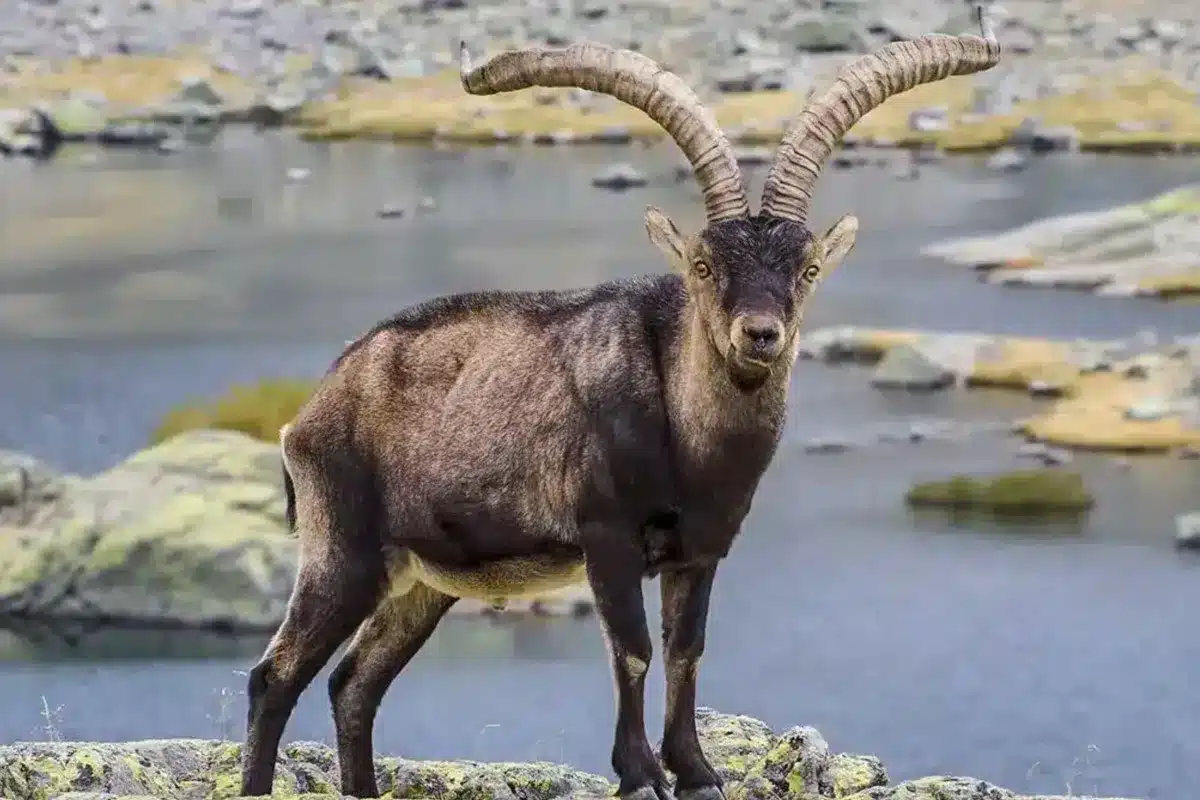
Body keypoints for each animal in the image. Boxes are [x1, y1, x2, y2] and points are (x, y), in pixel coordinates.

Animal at [240, 10, 1000, 799]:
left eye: (809, 268)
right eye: (703, 265)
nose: (760, 334)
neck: (688, 439)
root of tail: (310, 412)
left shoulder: (700, 550)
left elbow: (688, 649)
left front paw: (694, 768)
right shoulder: (606, 537)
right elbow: (633, 651)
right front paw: (639, 770)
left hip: (420, 581)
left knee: (355, 684)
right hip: (344, 552)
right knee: (276, 677)